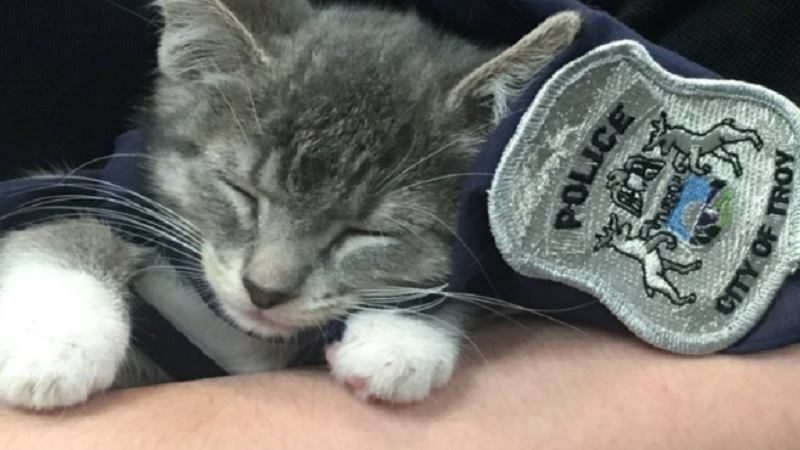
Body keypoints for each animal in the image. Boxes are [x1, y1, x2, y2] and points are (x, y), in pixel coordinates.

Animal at [0, 0, 580, 410]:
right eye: (240, 190)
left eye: (366, 232)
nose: (264, 290)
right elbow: (68, 217)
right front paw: (56, 337)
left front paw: (405, 334)